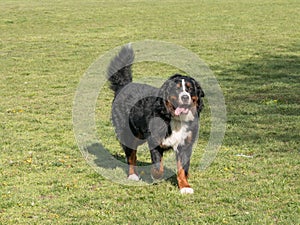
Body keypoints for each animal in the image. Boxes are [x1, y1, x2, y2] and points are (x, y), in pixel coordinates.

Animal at [106, 44, 204, 193]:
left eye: (190, 89)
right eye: (176, 89)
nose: (185, 97)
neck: (174, 118)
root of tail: (125, 85)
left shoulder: (185, 144)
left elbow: (182, 168)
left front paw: (185, 186)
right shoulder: (155, 141)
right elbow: (158, 167)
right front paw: (156, 177)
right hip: (129, 133)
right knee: (131, 155)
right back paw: (133, 175)